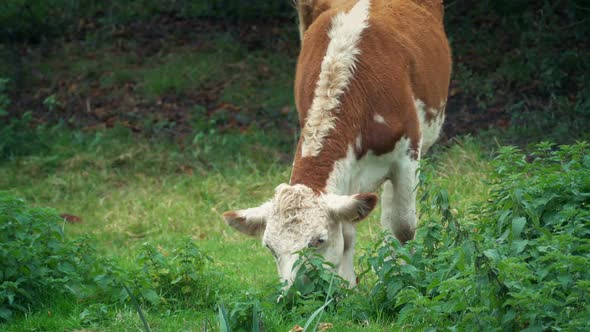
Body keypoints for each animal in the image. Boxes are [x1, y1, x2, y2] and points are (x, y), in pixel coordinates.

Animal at [223, 0, 454, 288]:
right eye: (270, 247)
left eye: (317, 240)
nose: (293, 291)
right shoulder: (346, 172)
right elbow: (347, 232)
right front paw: (347, 286)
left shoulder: (406, 155)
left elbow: (403, 226)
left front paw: (402, 275)